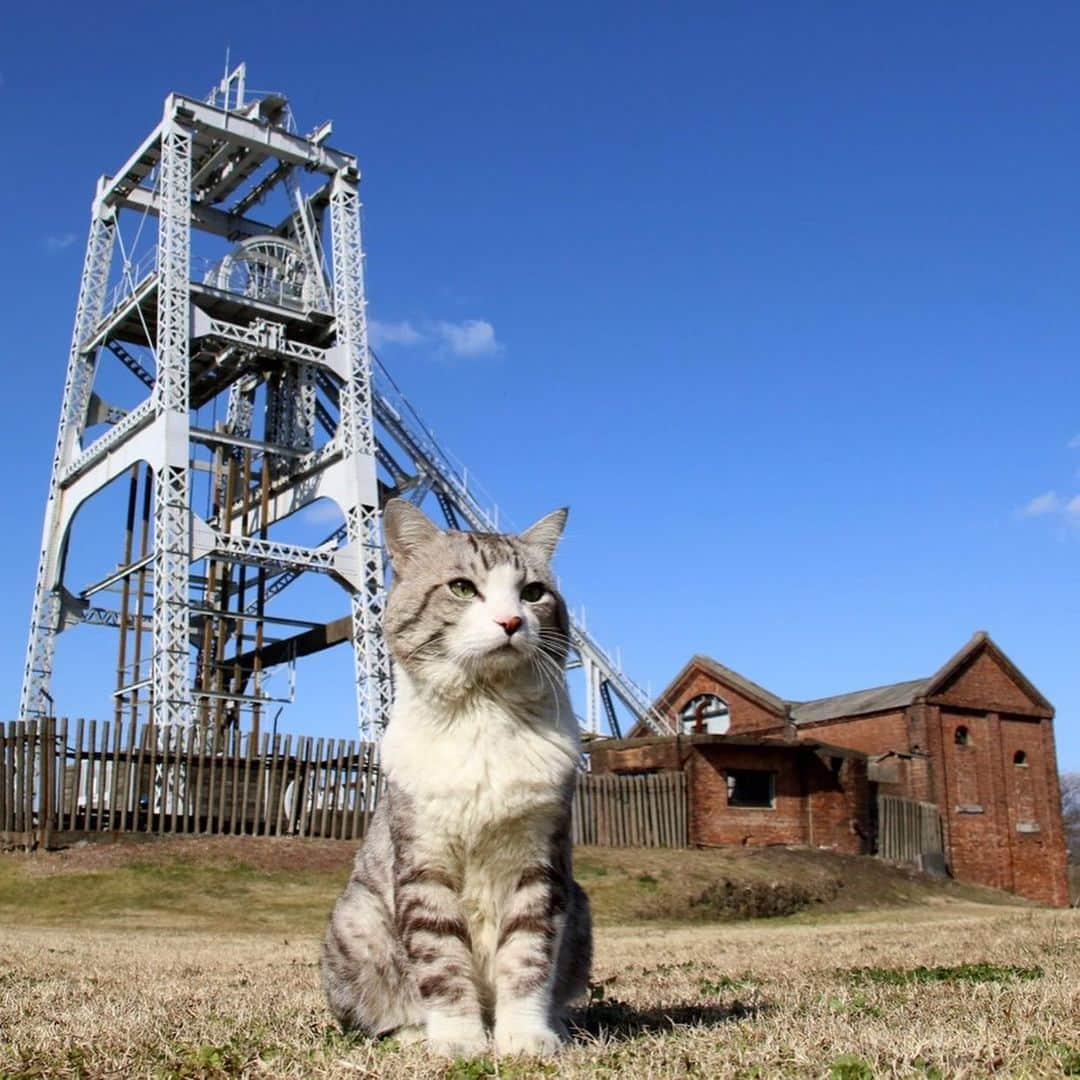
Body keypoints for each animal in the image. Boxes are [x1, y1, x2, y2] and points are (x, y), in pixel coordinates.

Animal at [319, 496, 591, 1054]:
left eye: (533, 593)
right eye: (463, 588)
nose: (511, 620)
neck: (484, 713)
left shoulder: (539, 862)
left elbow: (528, 957)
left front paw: (525, 1038)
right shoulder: (424, 862)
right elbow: (440, 960)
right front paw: (459, 1041)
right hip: (356, 918)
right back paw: (413, 1034)